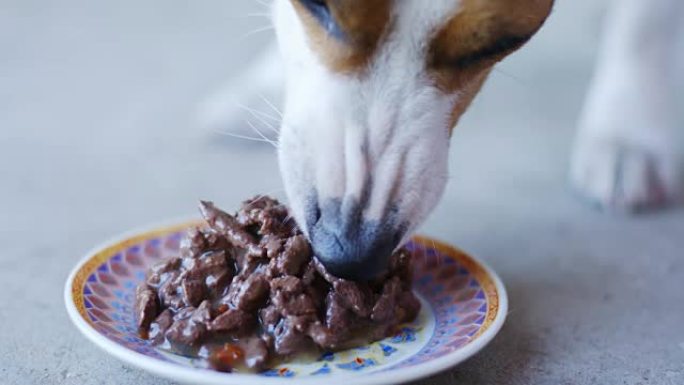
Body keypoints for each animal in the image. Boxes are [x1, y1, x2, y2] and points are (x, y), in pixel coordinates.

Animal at [196, 0, 680, 278]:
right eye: (317, 5)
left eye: (501, 41)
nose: (348, 253)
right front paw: (260, 85)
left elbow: (645, 24)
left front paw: (627, 135)